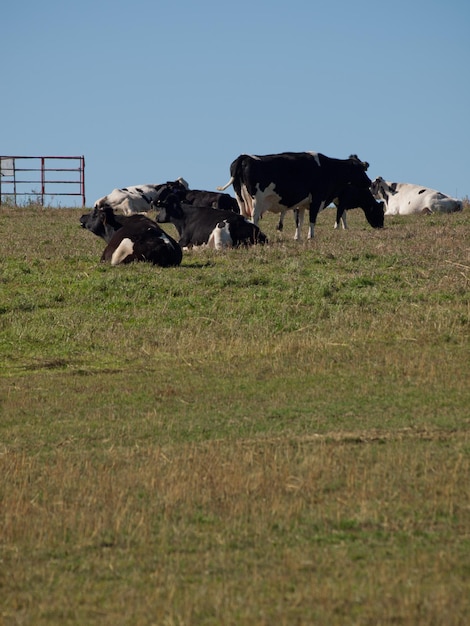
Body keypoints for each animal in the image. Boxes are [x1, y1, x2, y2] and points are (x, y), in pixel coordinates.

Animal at [218, 152, 374, 238]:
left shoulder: (302, 203)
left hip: (240, 198)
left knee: (243, 215)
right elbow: (312, 219)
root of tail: (244, 157)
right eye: (360, 169)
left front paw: (297, 237)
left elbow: (299, 221)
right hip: (257, 200)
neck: (327, 168)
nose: (369, 182)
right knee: (254, 217)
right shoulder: (317, 198)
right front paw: (311, 236)